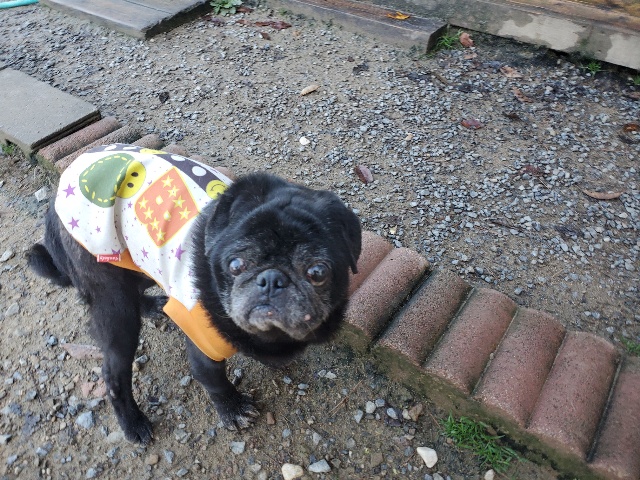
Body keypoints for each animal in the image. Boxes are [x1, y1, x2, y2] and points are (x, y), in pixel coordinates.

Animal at [28, 144, 362, 443]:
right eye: (235, 265)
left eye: (317, 272)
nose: (271, 279)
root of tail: (58, 197)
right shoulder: (202, 340)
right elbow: (213, 379)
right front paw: (232, 408)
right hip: (113, 302)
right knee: (114, 372)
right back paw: (132, 422)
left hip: (134, 263)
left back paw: (151, 305)